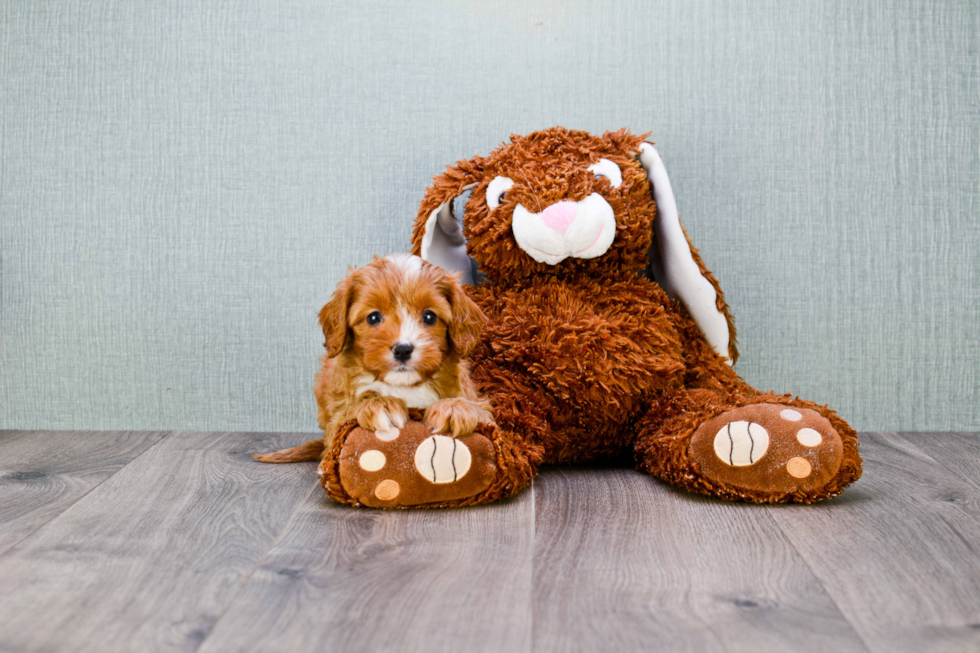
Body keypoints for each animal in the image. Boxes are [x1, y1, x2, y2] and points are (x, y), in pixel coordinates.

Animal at [253, 253, 490, 464]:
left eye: (429, 316)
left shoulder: (483, 409)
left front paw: (455, 408)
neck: (403, 386)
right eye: (373, 317)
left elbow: (478, 410)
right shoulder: (335, 423)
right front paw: (379, 404)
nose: (403, 349)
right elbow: (350, 410)